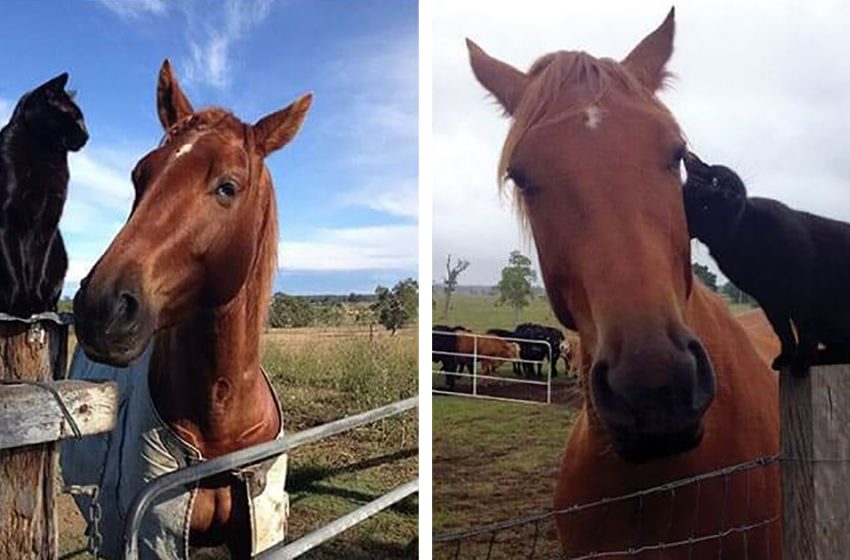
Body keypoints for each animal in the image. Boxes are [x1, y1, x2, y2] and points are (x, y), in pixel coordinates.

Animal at [0, 74, 87, 318]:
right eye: (74, 116)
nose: (87, 135)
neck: (45, 153)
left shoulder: (49, 219)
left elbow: (37, 265)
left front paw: (36, 302)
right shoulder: (9, 218)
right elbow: (15, 266)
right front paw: (20, 304)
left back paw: (49, 305)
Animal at [680, 152, 848, 376]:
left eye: (714, 181)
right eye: (704, 207)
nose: (724, 194)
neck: (743, 235)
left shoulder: (805, 285)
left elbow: (805, 327)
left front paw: (802, 359)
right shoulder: (770, 300)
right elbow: (783, 331)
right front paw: (787, 357)